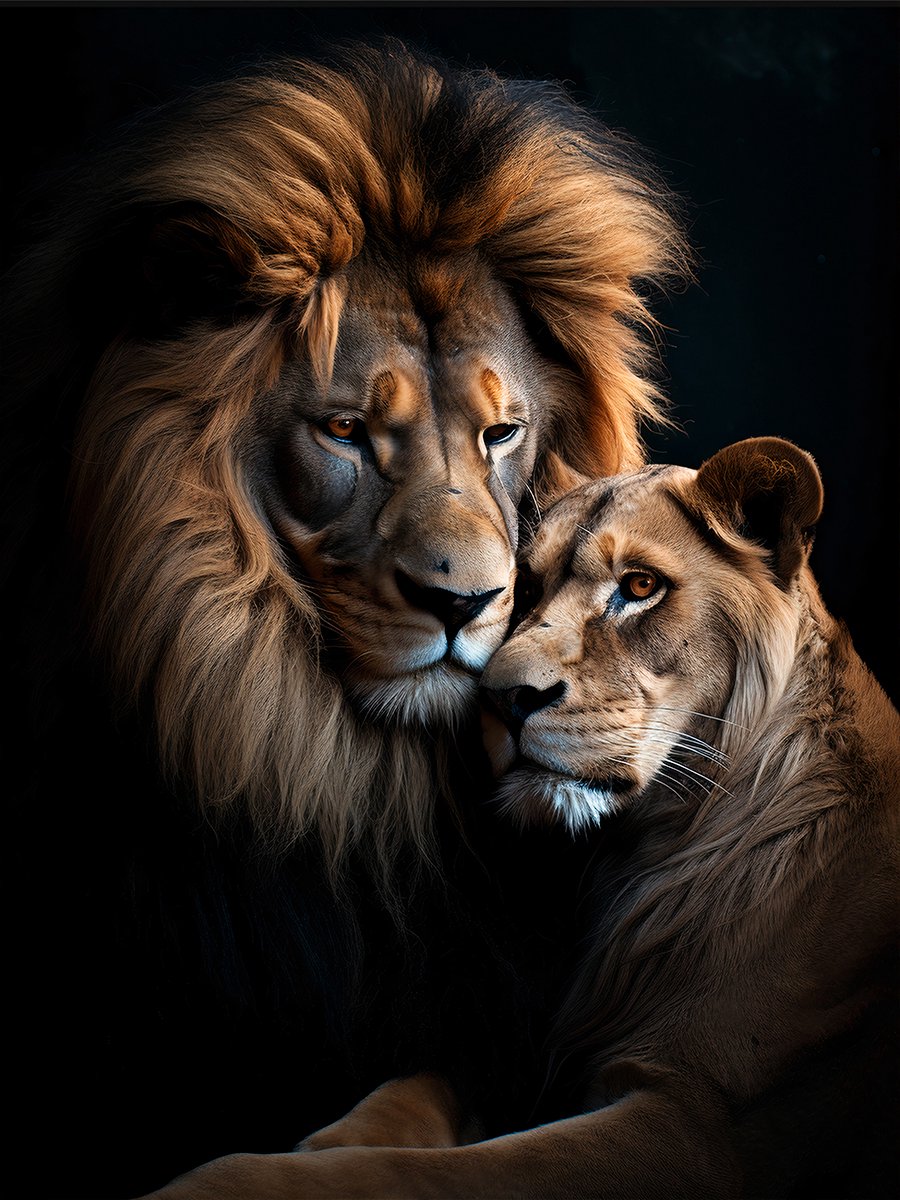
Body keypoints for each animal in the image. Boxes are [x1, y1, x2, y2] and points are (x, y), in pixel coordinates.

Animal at [149, 437, 899, 1198]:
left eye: (639, 587)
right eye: (528, 590)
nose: (503, 697)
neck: (646, 855)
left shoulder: (700, 1126)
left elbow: (418, 1171)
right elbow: (416, 1090)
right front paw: (328, 1137)